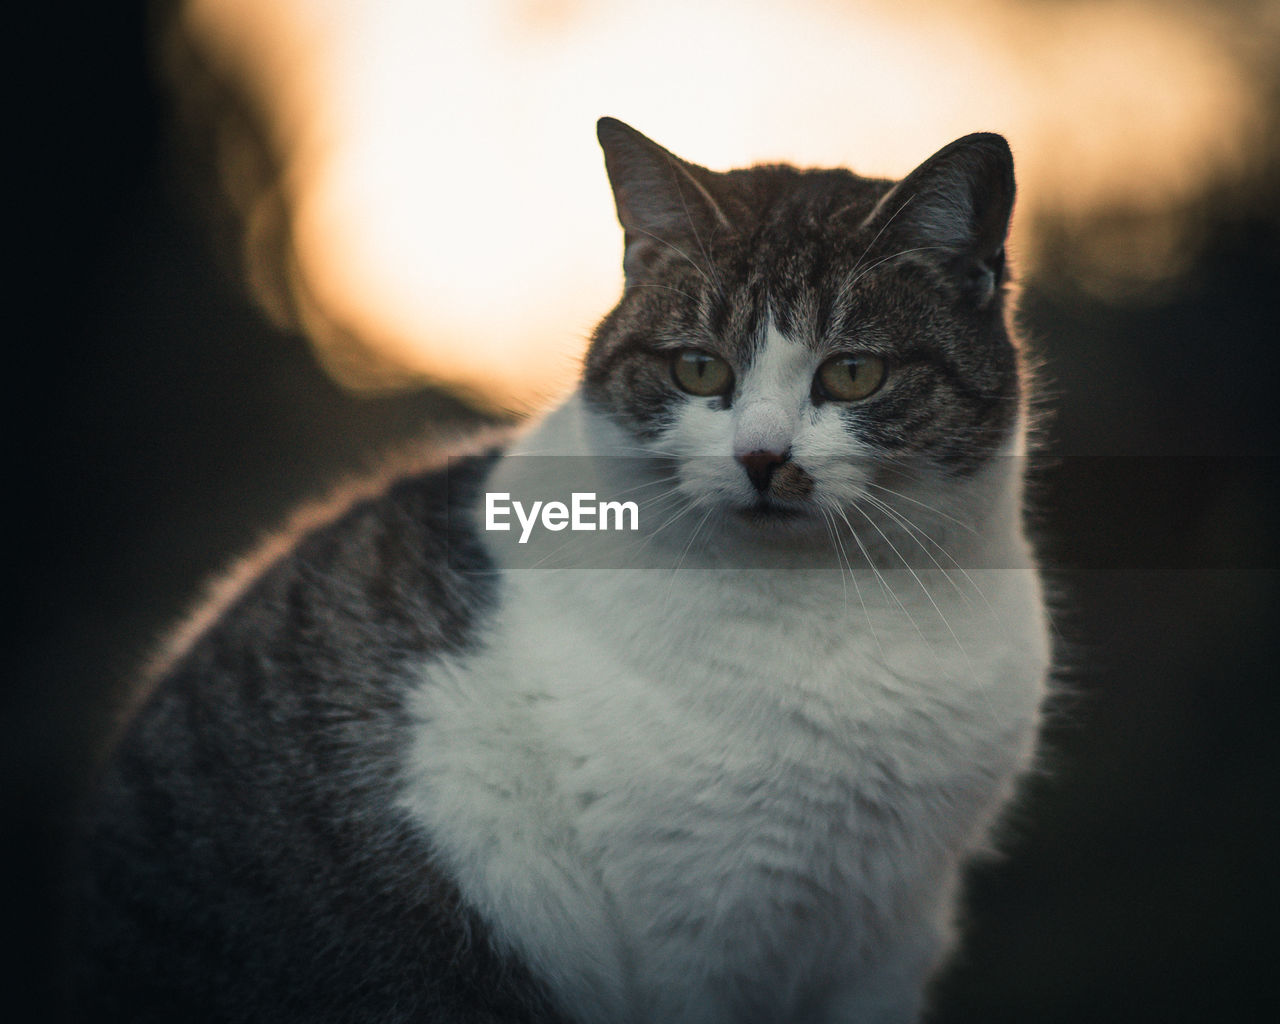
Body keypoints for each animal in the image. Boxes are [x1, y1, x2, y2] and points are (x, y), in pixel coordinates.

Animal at [70, 115, 1049, 1018]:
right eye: (699, 369)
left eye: (852, 374)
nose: (762, 458)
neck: (842, 610)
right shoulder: (696, 934)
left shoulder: (892, 934)